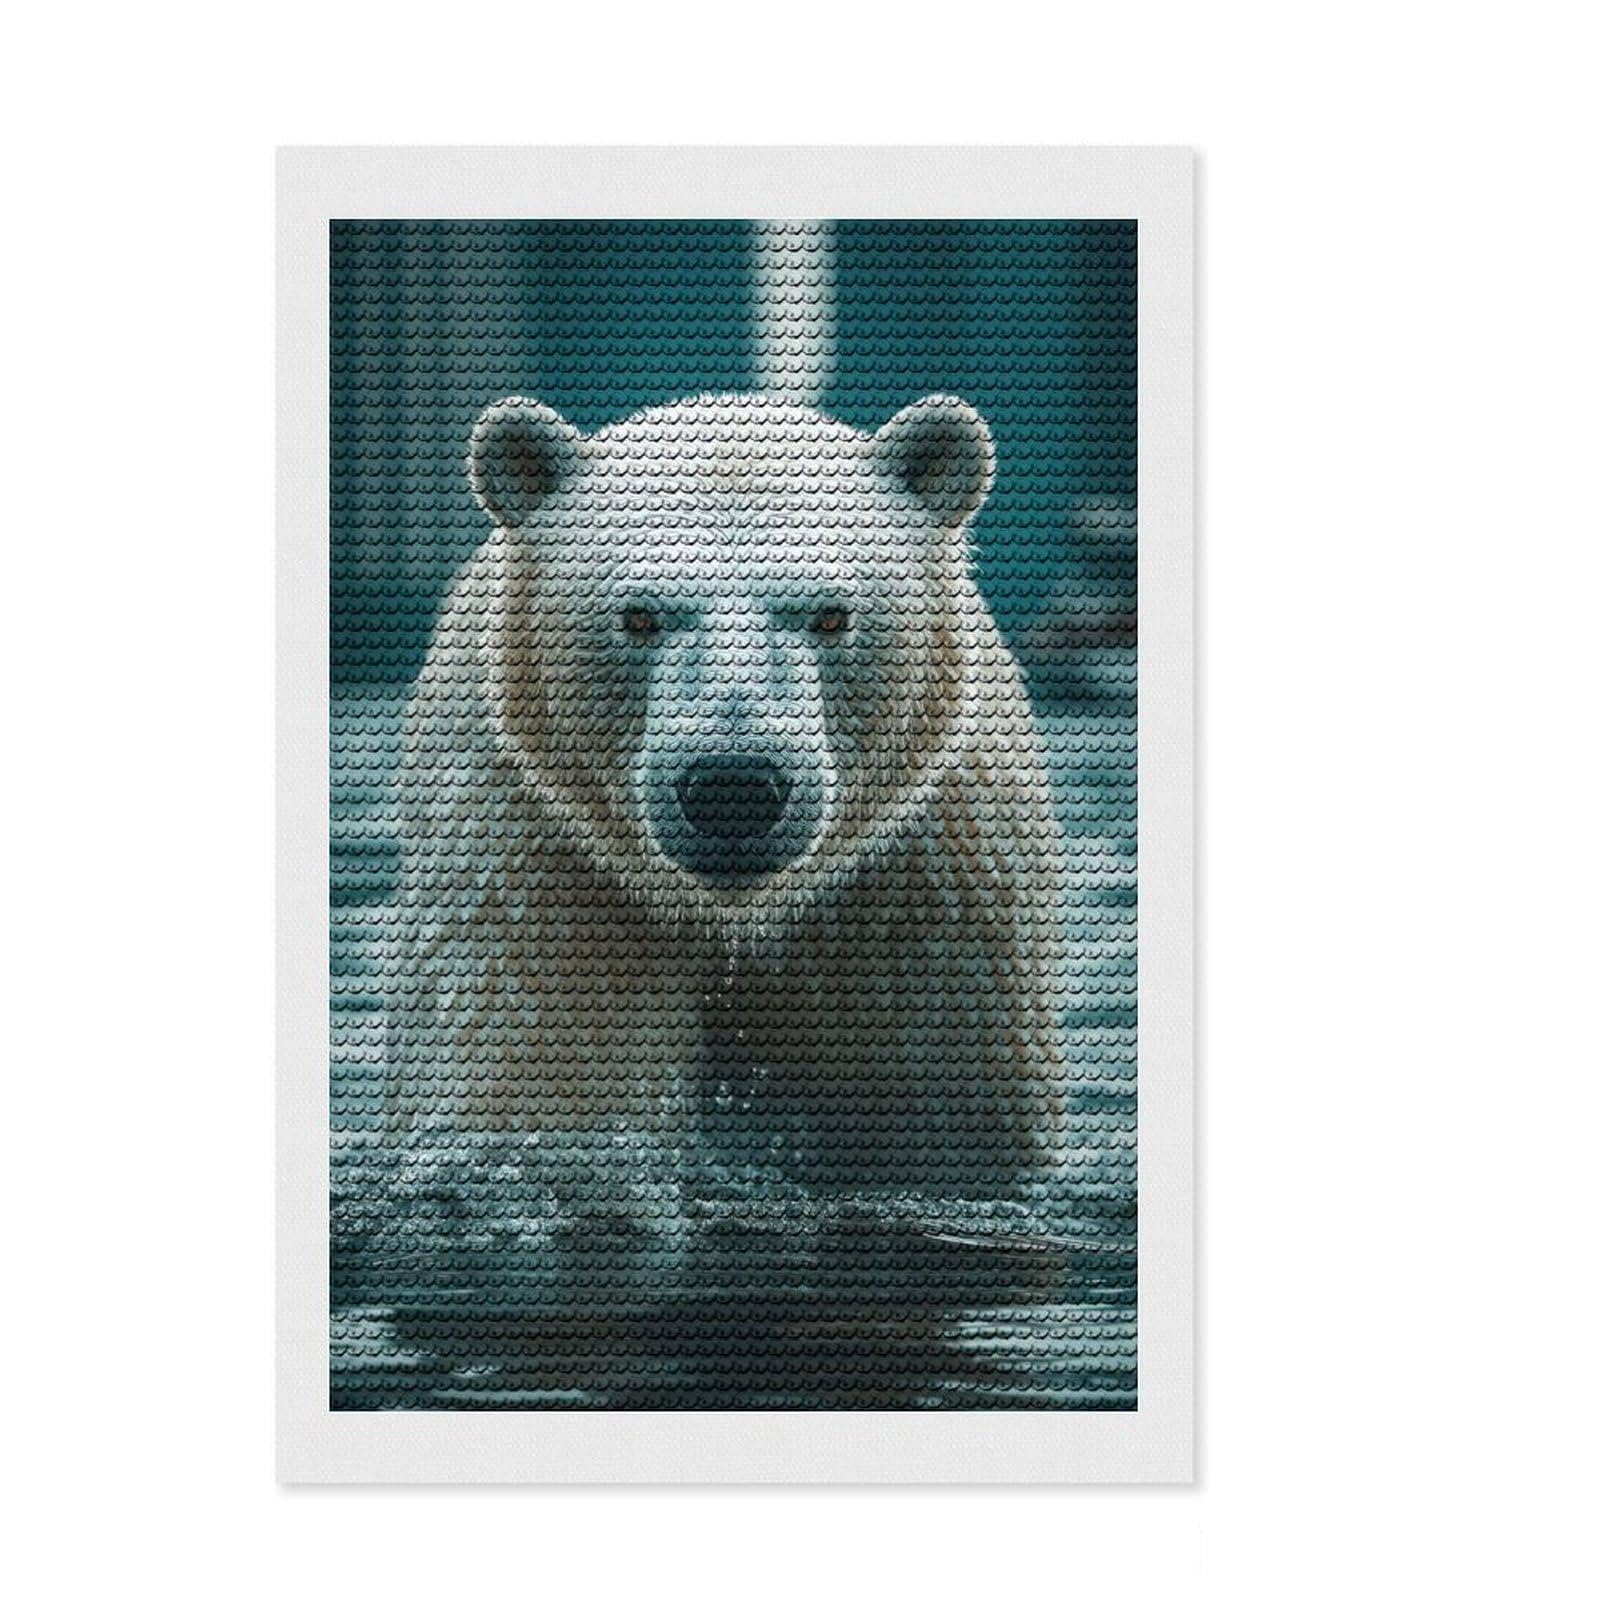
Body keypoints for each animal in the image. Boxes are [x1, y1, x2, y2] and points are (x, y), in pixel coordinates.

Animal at [386, 392, 1067, 1196]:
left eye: (830, 613)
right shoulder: (538, 861)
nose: (732, 785)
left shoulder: (919, 892)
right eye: (639, 615)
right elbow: (539, 1078)